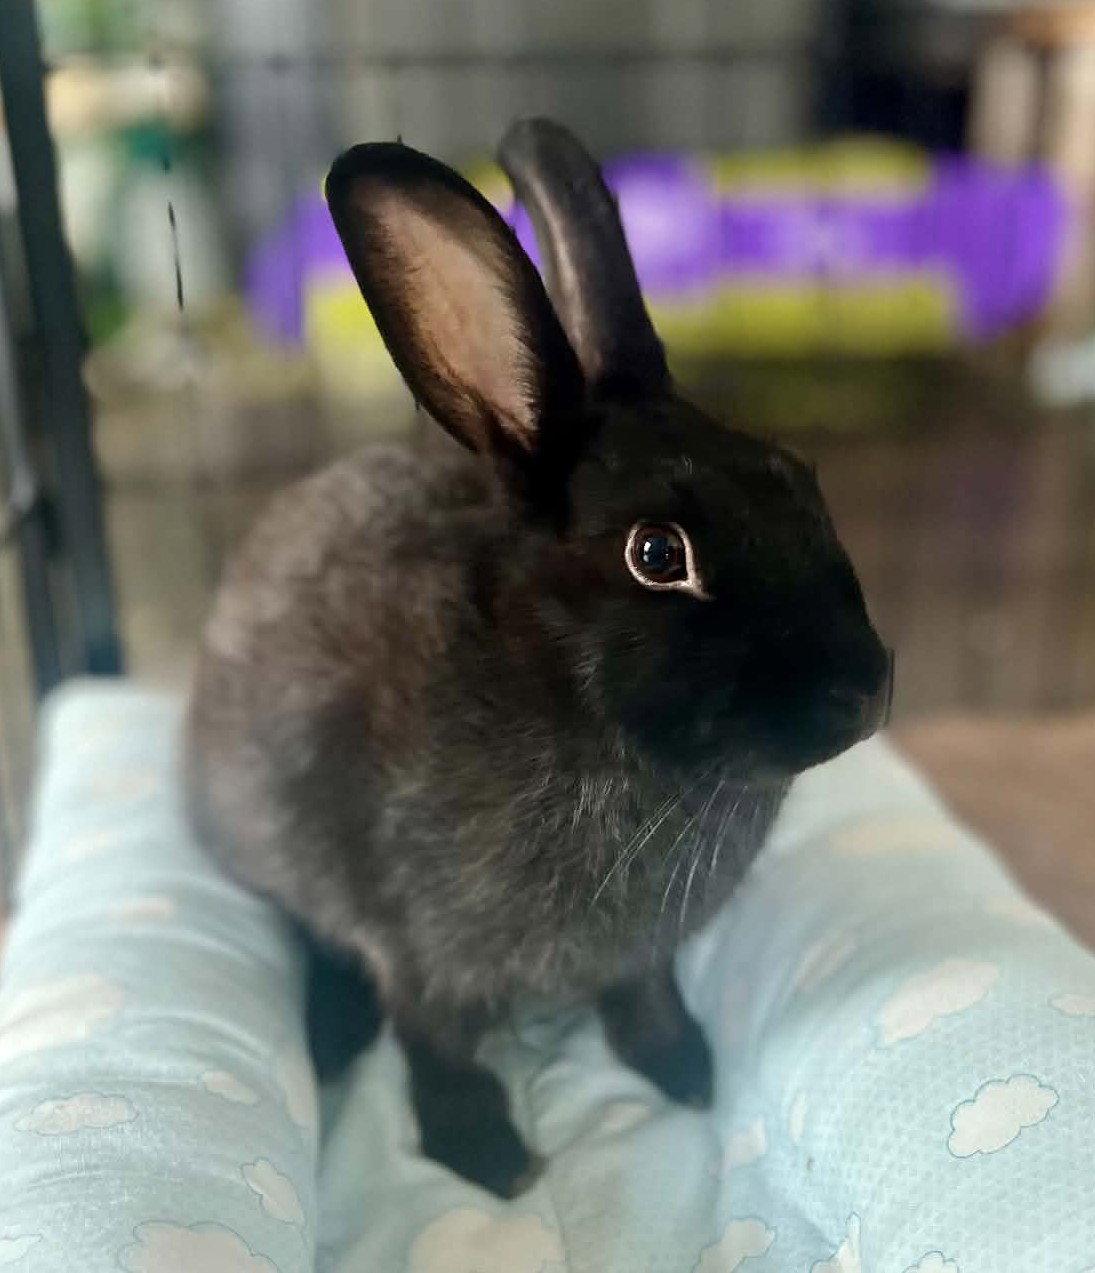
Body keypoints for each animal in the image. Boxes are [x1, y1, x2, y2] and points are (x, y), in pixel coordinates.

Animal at [185, 117, 890, 1198]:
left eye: (803, 481)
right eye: (658, 554)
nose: (867, 691)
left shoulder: (640, 958)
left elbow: (644, 996)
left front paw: (685, 1072)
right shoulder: (416, 950)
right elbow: (433, 1044)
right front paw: (489, 1157)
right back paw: (333, 1036)